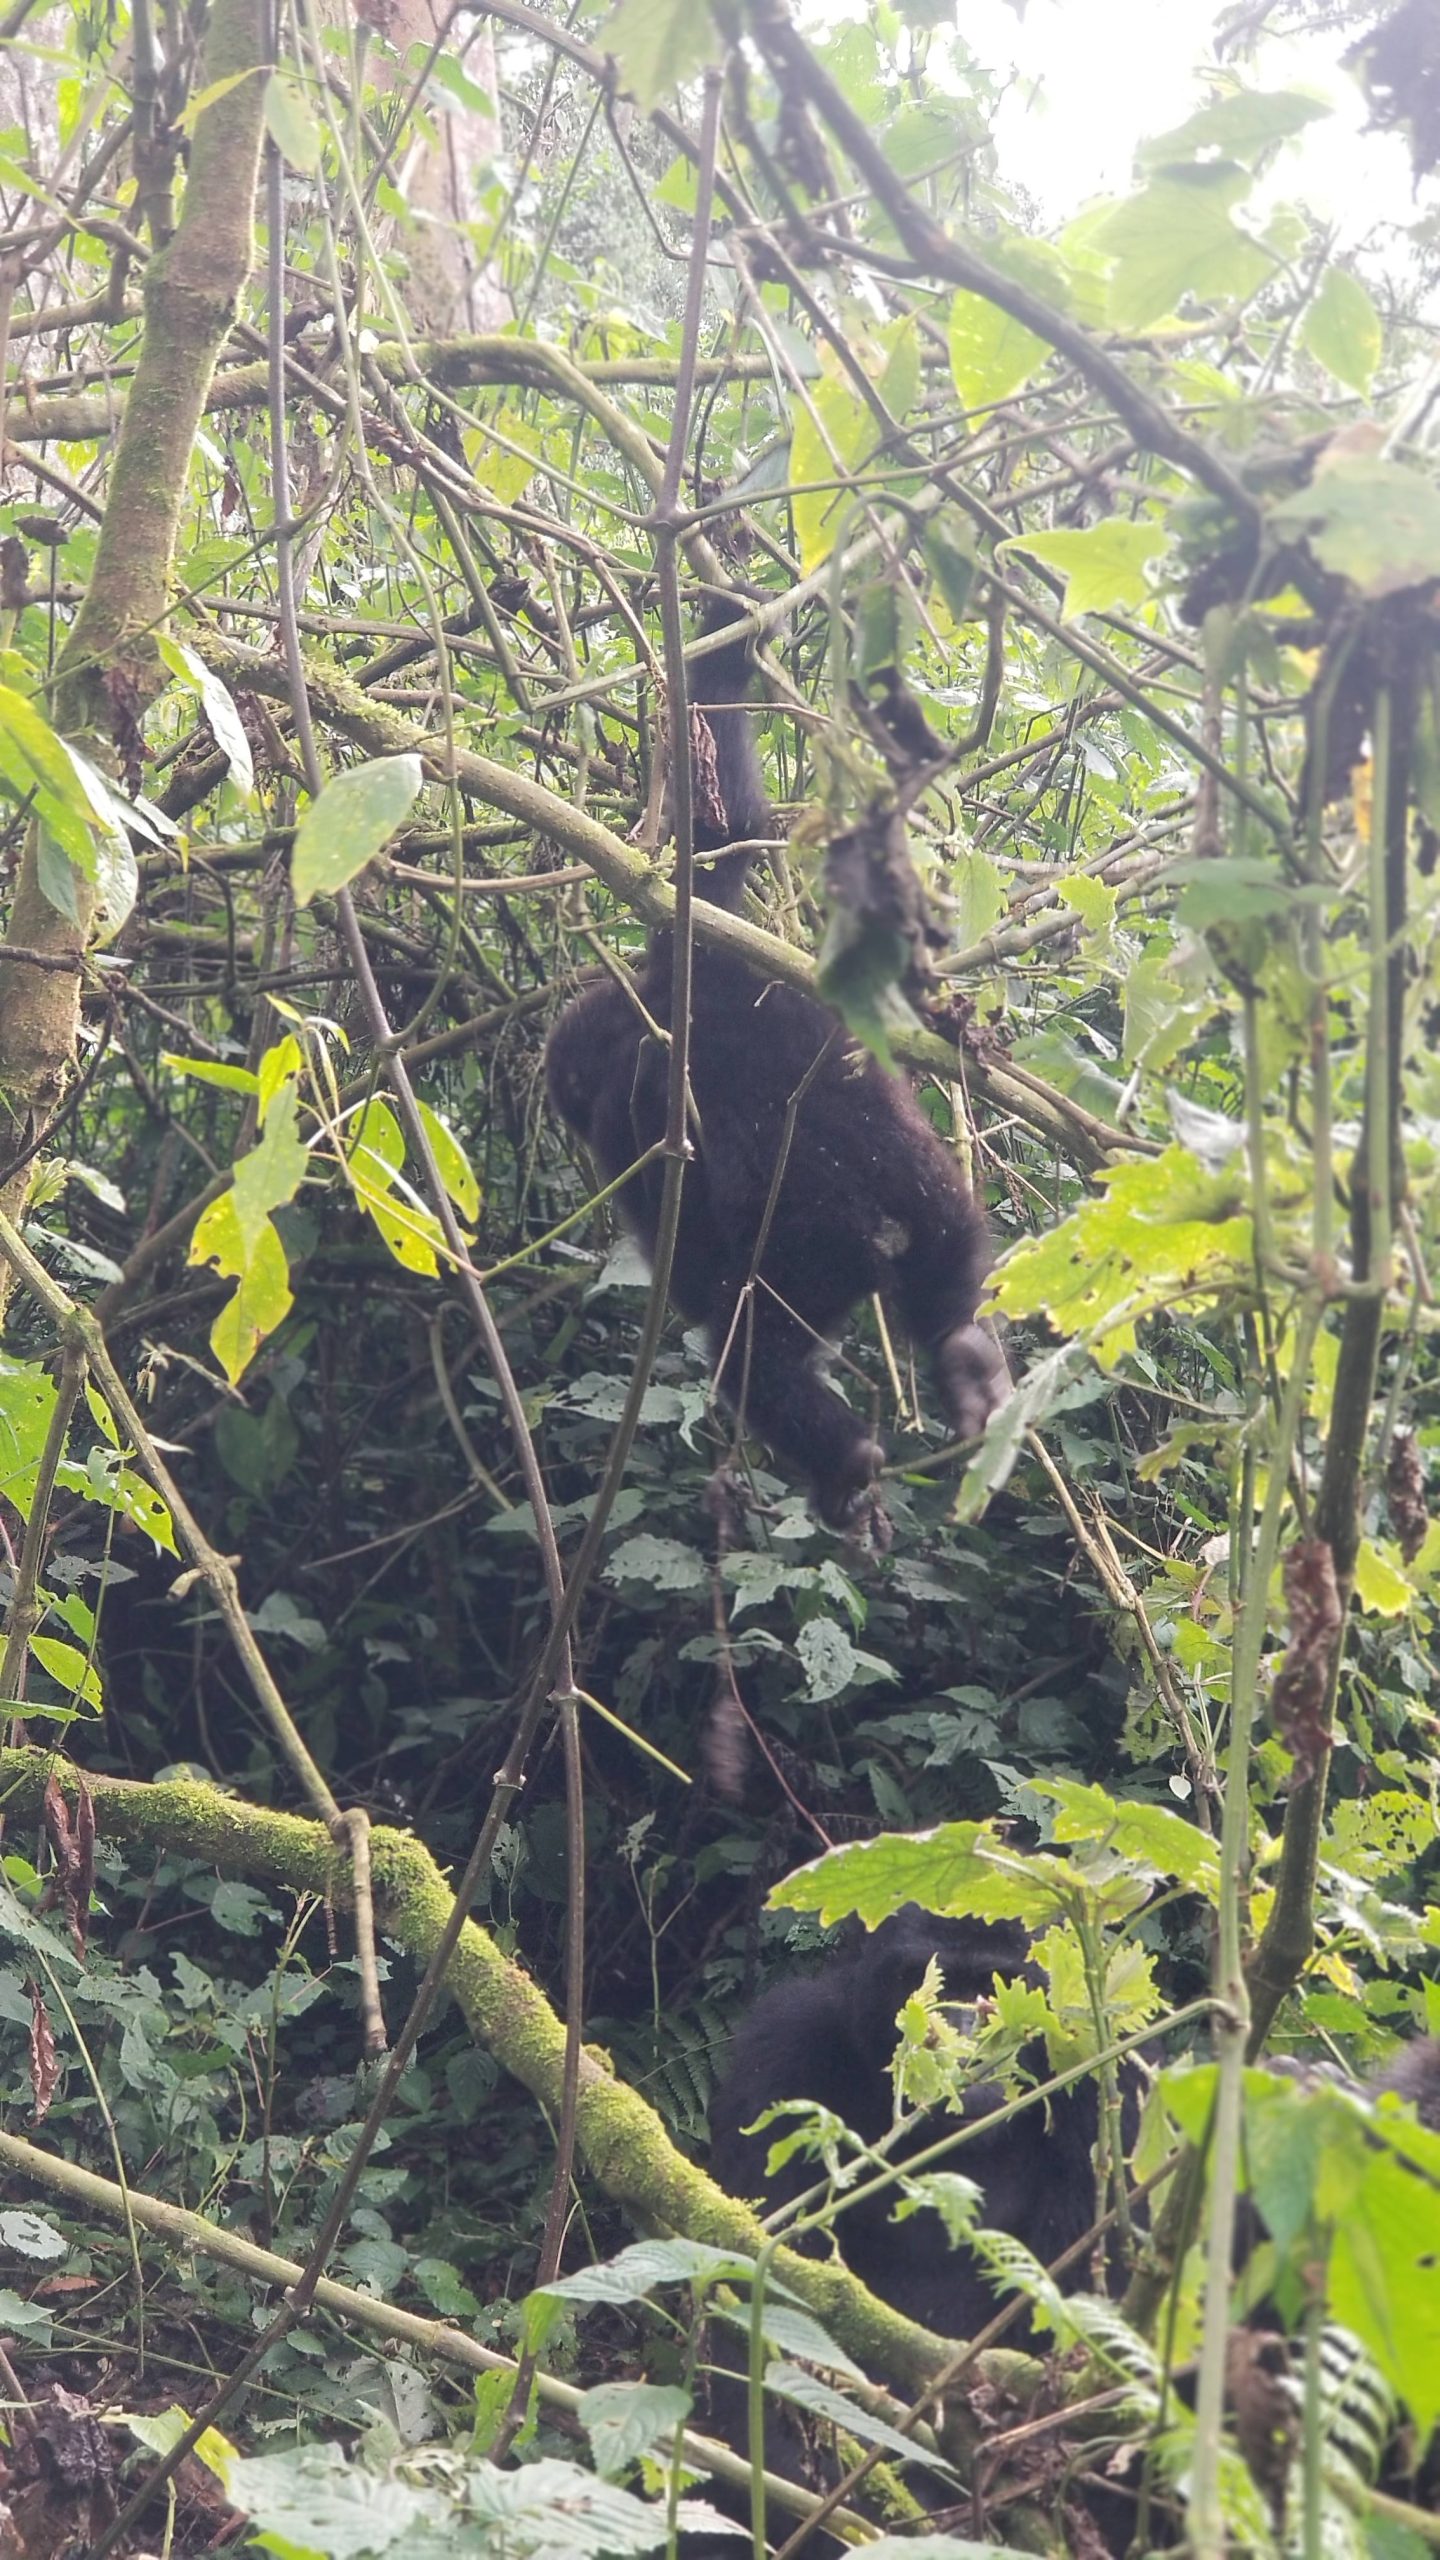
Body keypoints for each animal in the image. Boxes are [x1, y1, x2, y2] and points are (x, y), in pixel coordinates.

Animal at [544, 599, 1005, 1537]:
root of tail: (879, 1221)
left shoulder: (626, 1097)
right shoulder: (710, 946)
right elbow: (722, 833)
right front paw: (728, 624)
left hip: (808, 1258)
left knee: (750, 1354)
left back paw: (844, 1461)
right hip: (937, 1203)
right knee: (947, 1277)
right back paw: (970, 1363)